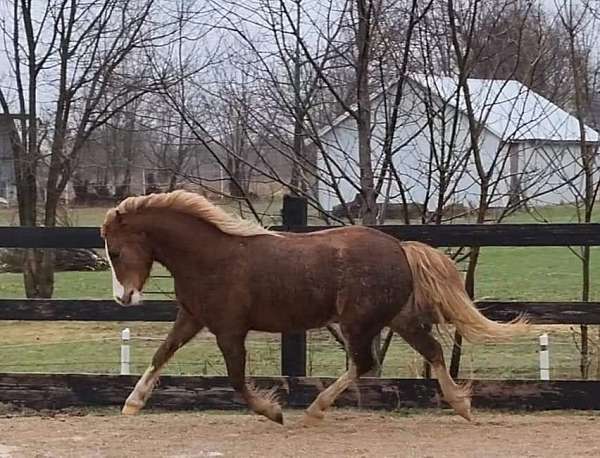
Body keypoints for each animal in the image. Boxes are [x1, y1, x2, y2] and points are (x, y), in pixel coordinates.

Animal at [101, 191, 528, 426]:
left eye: (116, 251)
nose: (124, 298)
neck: (212, 256)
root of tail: (400, 247)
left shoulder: (229, 330)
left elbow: (237, 381)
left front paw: (273, 412)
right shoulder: (192, 318)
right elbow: (161, 354)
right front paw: (132, 404)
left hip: (360, 322)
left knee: (365, 362)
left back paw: (314, 410)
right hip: (397, 318)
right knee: (432, 351)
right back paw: (462, 406)